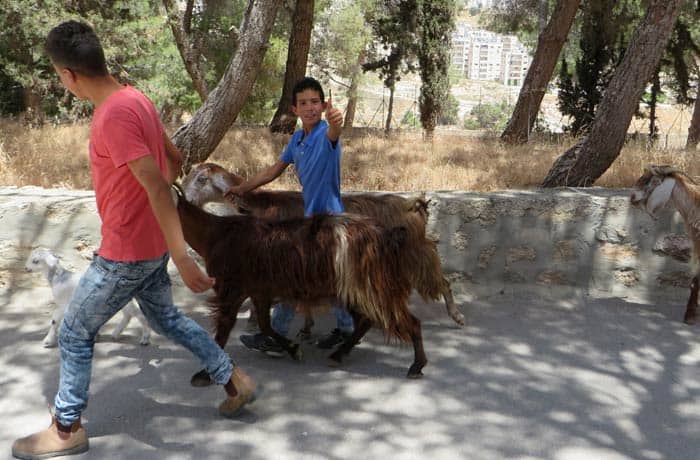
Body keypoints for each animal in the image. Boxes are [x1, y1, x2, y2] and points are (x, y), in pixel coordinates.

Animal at [172, 185, 430, 380]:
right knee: (365, 321)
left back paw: (416, 366)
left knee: (409, 321)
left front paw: (204, 375)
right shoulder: (259, 291)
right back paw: (339, 354)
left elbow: (224, 329)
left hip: (372, 287)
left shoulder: (231, 289)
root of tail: (386, 236)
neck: (214, 234)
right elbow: (266, 325)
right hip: (353, 290)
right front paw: (293, 349)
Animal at [182, 162, 464, 330]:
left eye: (201, 179)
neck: (261, 206)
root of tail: (412, 206)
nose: (185, 199)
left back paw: (456, 315)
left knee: (442, 281)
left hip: (413, 253)